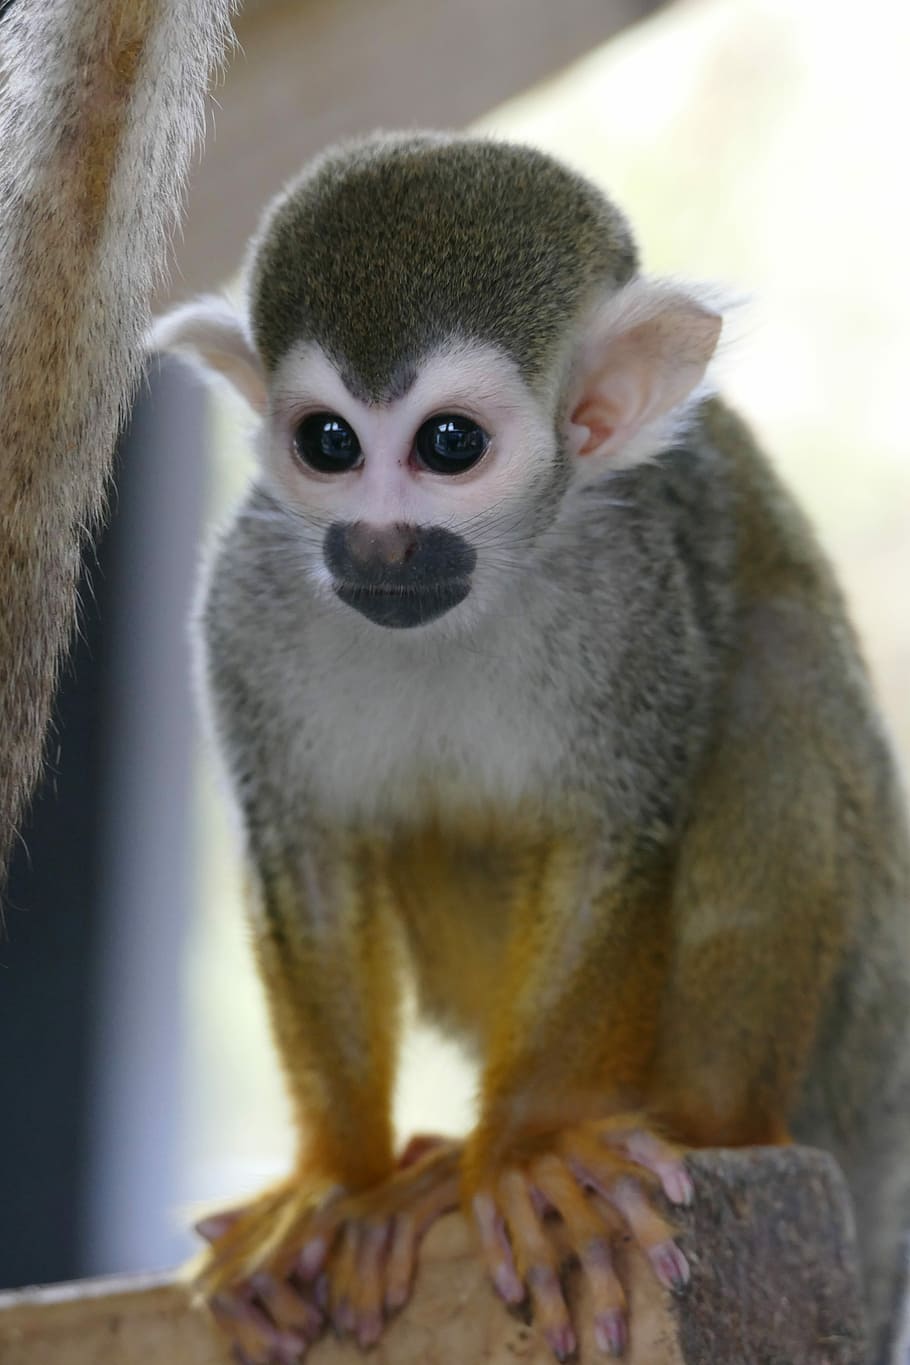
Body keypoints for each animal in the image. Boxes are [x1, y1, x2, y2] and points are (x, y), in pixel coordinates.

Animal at [152, 132, 910, 1363]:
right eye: (328, 442)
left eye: (448, 444)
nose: (379, 541)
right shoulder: (247, 596)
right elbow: (306, 853)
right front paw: (337, 1179)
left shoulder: (630, 587)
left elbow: (612, 834)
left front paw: (528, 1154)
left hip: (858, 1029)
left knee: (778, 667)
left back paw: (696, 1124)